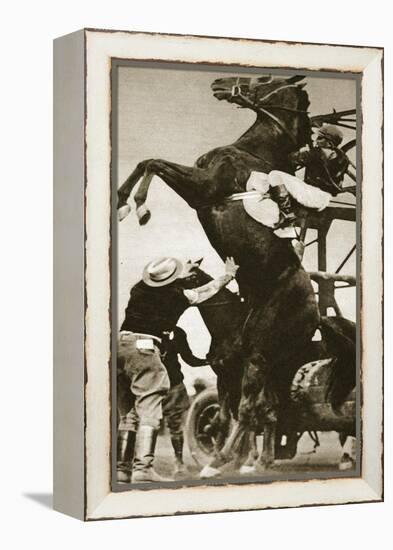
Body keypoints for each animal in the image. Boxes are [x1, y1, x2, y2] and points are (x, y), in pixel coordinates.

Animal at [116, 74, 318, 470]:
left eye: (263, 79)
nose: (221, 82)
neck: (251, 152)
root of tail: (315, 313)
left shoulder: (203, 188)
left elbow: (154, 162)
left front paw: (136, 206)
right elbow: (149, 161)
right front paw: (124, 203)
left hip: (258, 353)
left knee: (251, 408)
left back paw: (222, 461)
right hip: (274, 361)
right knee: (263, 409)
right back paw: (248, 460)